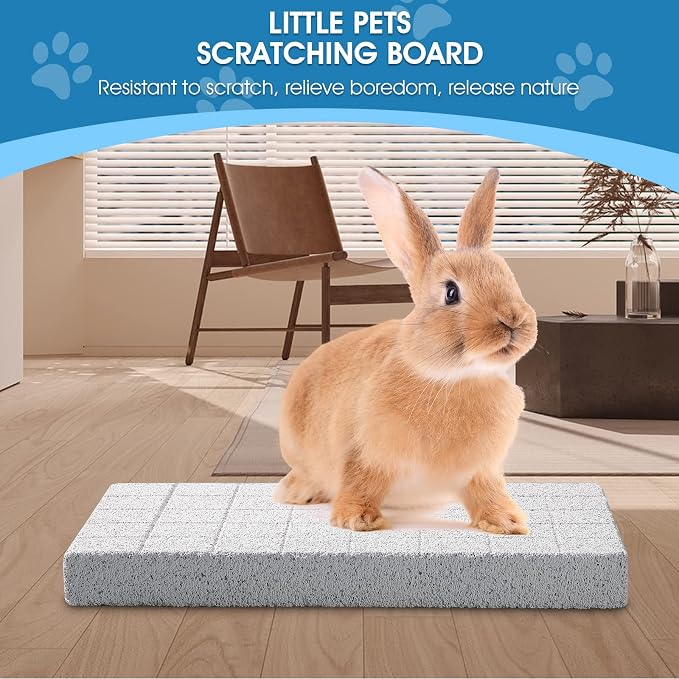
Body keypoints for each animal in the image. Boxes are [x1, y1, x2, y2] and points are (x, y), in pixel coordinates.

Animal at [274, 167, 537, 534]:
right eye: (451, 292)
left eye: (509, 277)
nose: (512, 319)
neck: (453, 378)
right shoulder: (364, 454)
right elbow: (359, 483)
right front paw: (356, 520)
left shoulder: (482, 472)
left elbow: (488, 493)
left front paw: (507, 522)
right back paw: (296, 493)